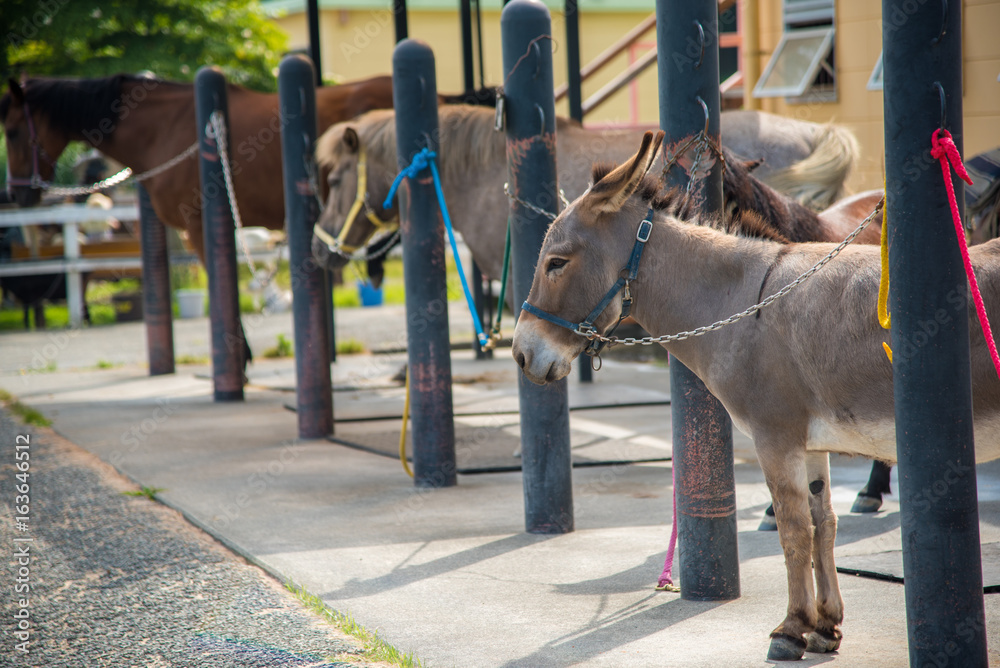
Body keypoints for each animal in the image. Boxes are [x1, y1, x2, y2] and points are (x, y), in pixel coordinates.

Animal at [510, 131, 1000, 661]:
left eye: (556, 262)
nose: (519, 354)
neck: (744, 302)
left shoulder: (775, 437)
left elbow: (793, 529)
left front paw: (791, 629)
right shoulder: (812, 441)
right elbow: (823, 522)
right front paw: (827, 625)